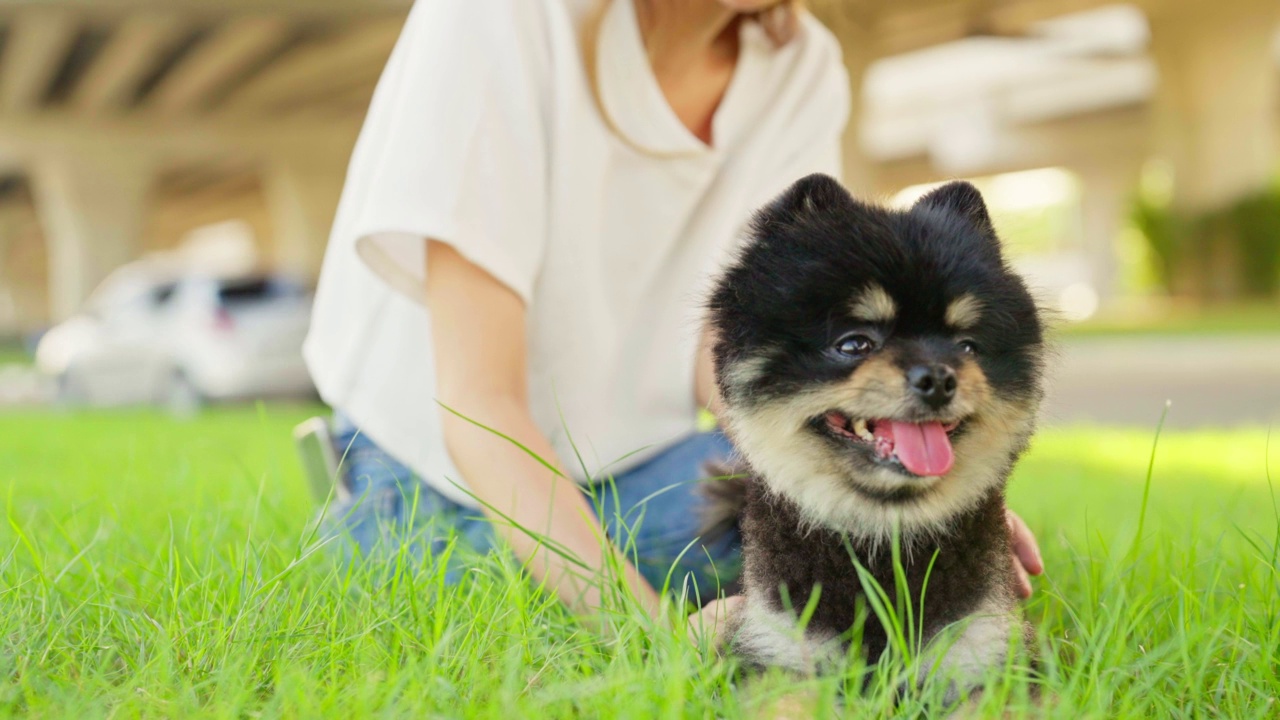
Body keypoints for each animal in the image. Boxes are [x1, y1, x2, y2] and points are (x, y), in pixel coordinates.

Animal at [706, 172, 1044, 696]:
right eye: (854, 344)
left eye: (967, 347)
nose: (939, 377)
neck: (884, 541)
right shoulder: (780, 650)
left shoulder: (983, 650)